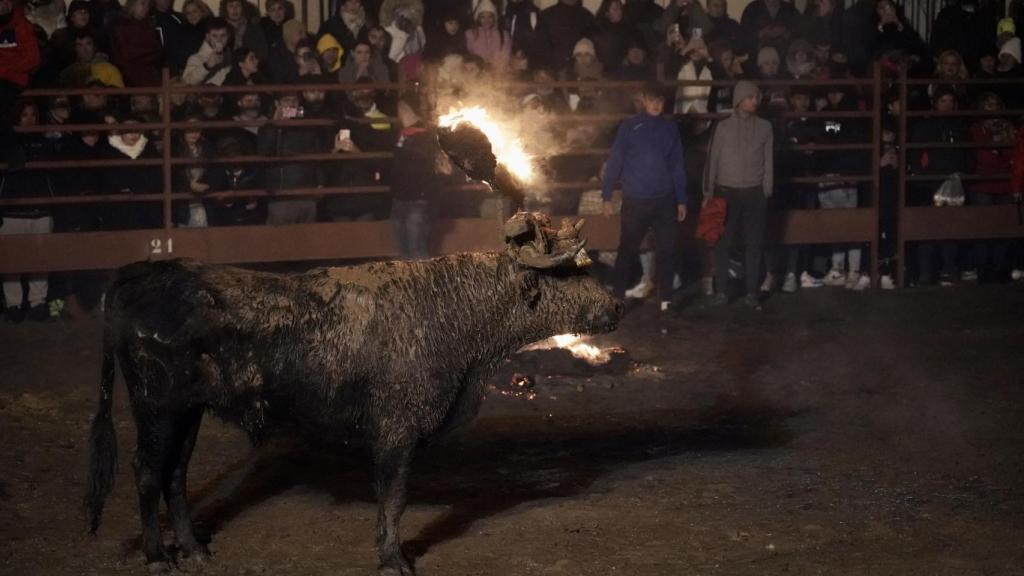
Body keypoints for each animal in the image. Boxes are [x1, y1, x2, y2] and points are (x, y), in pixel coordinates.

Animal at [83, 212, 618, 573]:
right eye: (567, 273)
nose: (615, 305)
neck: (451, 309)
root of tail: (144, 273)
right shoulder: (397, 433)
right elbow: (394, 497)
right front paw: (392, 559)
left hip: (188, 412)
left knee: (175, 475)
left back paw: (194, 549)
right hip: (157, 408)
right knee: (147, 473)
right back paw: (158, 557)